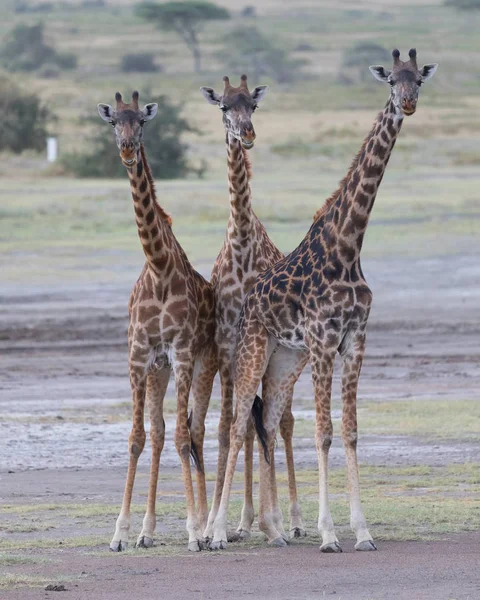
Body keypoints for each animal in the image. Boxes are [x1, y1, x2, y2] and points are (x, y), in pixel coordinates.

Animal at [96, 90, 217, 552]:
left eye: (142, 122)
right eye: (114, 122)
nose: (128, 150)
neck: (159, 266)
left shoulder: (181, 352)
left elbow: (184, 437)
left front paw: (193, 532)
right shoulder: (139, 354)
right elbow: (138, 437)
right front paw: (120, 532)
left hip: (203, 364)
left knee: (194, 430)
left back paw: (207, 526)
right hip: (158, 370)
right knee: (162, 431)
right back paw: (148, 531)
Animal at [208, 49, 436, 552]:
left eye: (418, 80)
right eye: (391, 79)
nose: (407, 103)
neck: (347, 247)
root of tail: (248, 301)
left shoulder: (354, 340)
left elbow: (349, 432)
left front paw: (363, 532)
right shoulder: (322, 339)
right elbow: (324, 432)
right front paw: (329, 533)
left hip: (283, 360)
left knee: (268, 422)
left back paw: (270, 529)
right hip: (253, 350)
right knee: (238, 423)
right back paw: (216, 533)